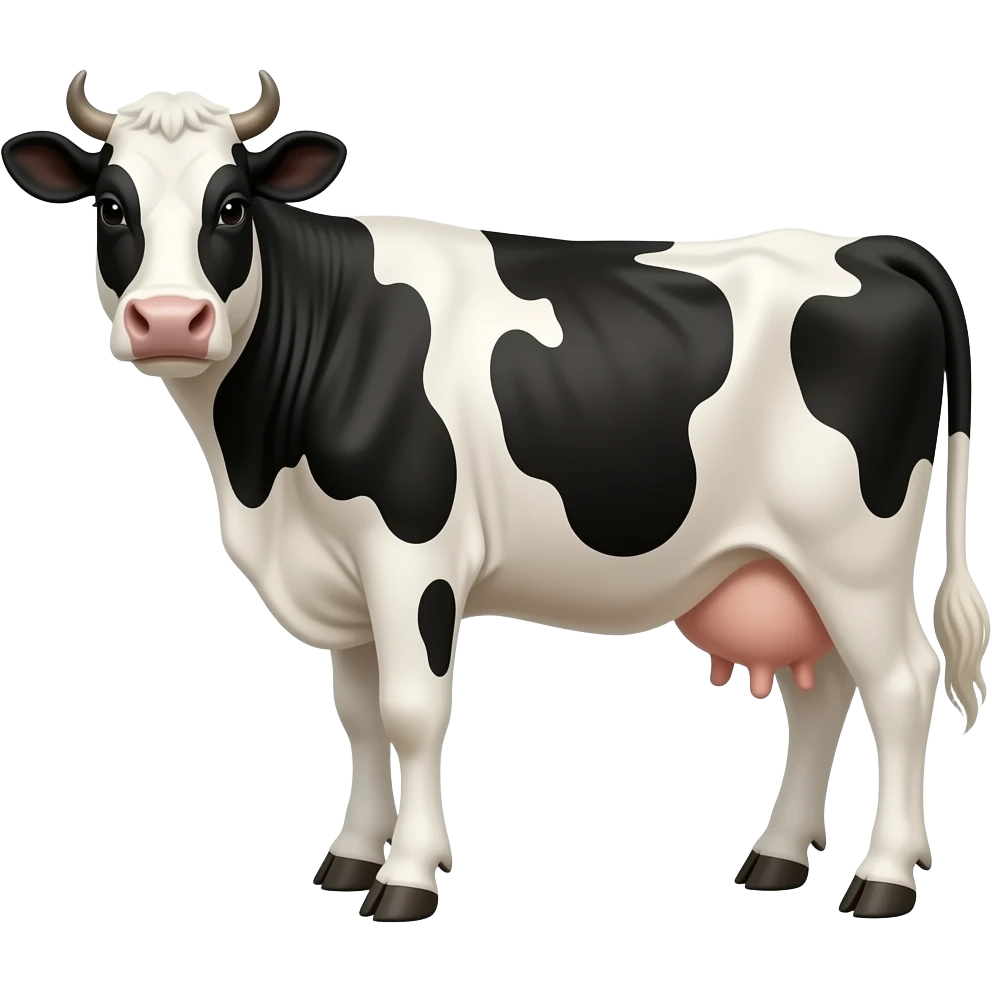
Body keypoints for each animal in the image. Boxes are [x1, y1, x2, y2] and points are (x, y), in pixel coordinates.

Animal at [3, 70, 987, 923]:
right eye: (112, 204)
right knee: (826, 695)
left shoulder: (411, 555)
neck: (262, 475)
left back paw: (885, 879)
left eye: (232, 205)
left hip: (853, 551)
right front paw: (350, 857)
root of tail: (868, 245)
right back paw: (777, 859)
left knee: (901, 684)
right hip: (786, 562)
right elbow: (359, 715)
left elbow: (411, 711)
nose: (170, 320)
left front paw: (405, 880)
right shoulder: (344, 572)